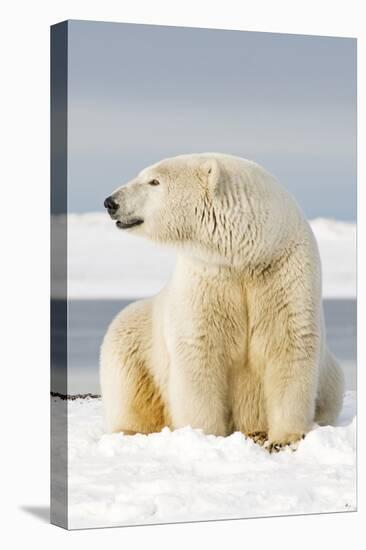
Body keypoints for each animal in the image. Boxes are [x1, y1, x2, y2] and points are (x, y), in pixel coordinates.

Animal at [99, 152, 344, 452]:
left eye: (154, 181)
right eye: (144, 175)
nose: (111, 202)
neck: (248, 254)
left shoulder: (284, 273)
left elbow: (288, 343)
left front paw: (285, 438)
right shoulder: (208, 277)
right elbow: (200, 351)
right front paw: (204, 435)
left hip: (331, 377)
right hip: (136, 336)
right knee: (127, 382)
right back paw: (131, 430)